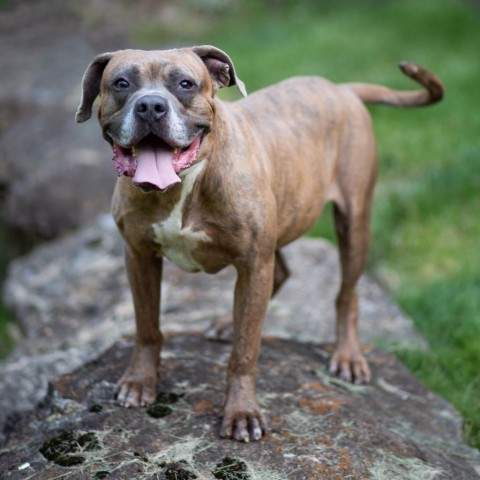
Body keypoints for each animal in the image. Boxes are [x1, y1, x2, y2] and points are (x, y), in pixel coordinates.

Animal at [77, 46, 444, 442]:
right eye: (121, 83)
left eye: (185, 84)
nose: (150, 106)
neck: (184, 183)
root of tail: (341, 89)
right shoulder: (140, 256)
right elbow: (146, 327)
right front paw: (140, 381)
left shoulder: (253, 265)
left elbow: (245, 350)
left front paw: (241, 411)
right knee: (281, 273)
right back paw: (227, 323)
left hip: (354, 222)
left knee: (346, 294)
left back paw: (347, 355)